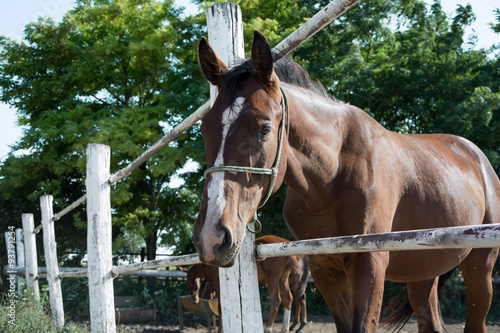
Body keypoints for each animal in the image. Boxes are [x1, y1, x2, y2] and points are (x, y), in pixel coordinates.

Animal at [193, 29, 500, 330]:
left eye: (264, 128)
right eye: (204, 128)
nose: (211, 236)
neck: (332, 178)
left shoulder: (369, 263)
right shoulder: (325, 269)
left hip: (479, 267)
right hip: (423, 274)